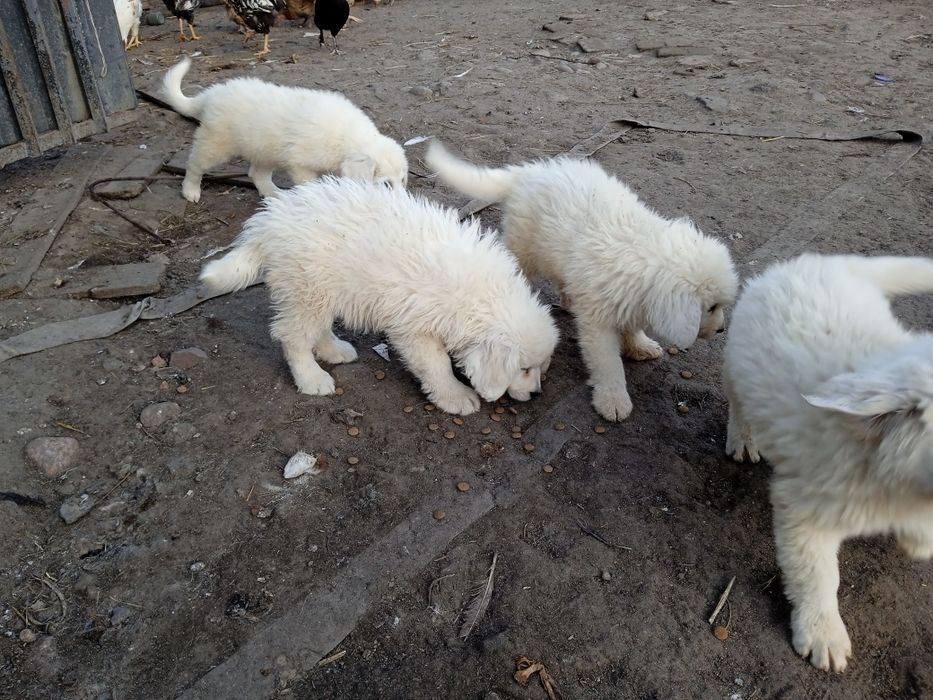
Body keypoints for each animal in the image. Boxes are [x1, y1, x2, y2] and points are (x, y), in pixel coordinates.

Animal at [161, 56, 408, 202]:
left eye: (403, 180)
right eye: (386, 184)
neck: (347, 139)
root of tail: (212, 94)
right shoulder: (300, 165)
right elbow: (311, 184)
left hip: (263, 150)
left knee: (256, 174)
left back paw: (275, 195)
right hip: (215, 143)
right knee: (195, 164)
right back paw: (190, 190)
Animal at [199, 178, 556, 412]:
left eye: (539, 367)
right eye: (524, 368)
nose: (537, 394)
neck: (481, 296)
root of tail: (268, 221)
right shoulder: (415, 328)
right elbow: (437, 365)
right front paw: (456, 397)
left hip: (321, 288)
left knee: (317, 327)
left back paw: (334, 351)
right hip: (307, 287)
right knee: (293, 336)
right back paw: (312, 379)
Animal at [426, 139, 740, 418]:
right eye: (711, 307)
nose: (722, 330)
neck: (646, 257)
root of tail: (531, 172)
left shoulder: (630, 301)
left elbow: (632, 326)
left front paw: (640, 345)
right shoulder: (598, 324)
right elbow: (608, 364)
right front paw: (613, 401)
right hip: (525, 249)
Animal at [724, 253, 932, 672]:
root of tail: (815, 261)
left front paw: (918, 539)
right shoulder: (805, 508)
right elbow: (818, 574)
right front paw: (823, 633)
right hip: (738, 371)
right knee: (738, 403)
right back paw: (742, 439)